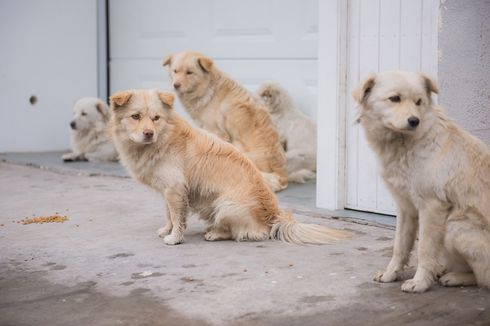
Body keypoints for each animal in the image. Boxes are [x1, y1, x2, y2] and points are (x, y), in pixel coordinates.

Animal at [110, 88, 348, 246]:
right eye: (136, 116)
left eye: (156, 118)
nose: (148, 133)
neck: (164, 138)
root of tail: (275, 216)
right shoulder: (168, 191)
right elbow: (169, 215)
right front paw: (166, 230)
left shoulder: (175, 189)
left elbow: (178, 218)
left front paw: (174, 238)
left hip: (225, 204)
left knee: (244, 233)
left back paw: (215, 233)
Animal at [163, 51, 290, 192]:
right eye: (175, 71)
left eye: (189, 72)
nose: (176, 85)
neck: (207, 89)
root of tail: (282, 176)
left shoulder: (216, 132)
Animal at [352, 70, 490, 292]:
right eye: (395, 98)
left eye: (418, 102)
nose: (414, 121)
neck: (404, 144)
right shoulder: (405, 207)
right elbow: (400, 246)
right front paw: (391, 273)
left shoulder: (431, 206)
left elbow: (424, 249)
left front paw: (420, 282)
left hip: (455, 226)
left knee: (483, 278)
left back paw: (454, 277)